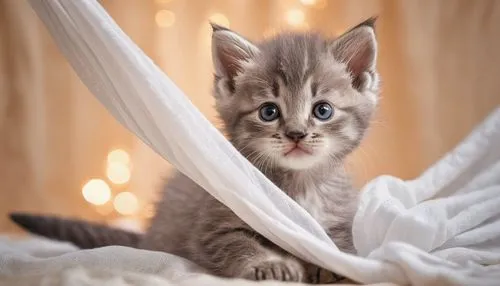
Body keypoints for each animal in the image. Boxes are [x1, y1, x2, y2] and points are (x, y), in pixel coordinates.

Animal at [9, 17, 378, 284]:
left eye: (323, 110)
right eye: (269, 111)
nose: (297, 134)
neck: (298, 184)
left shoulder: (342, 216)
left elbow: (340, 242)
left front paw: (335, 262)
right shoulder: (214, 224)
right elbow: (237, 244)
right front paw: (270, 264)